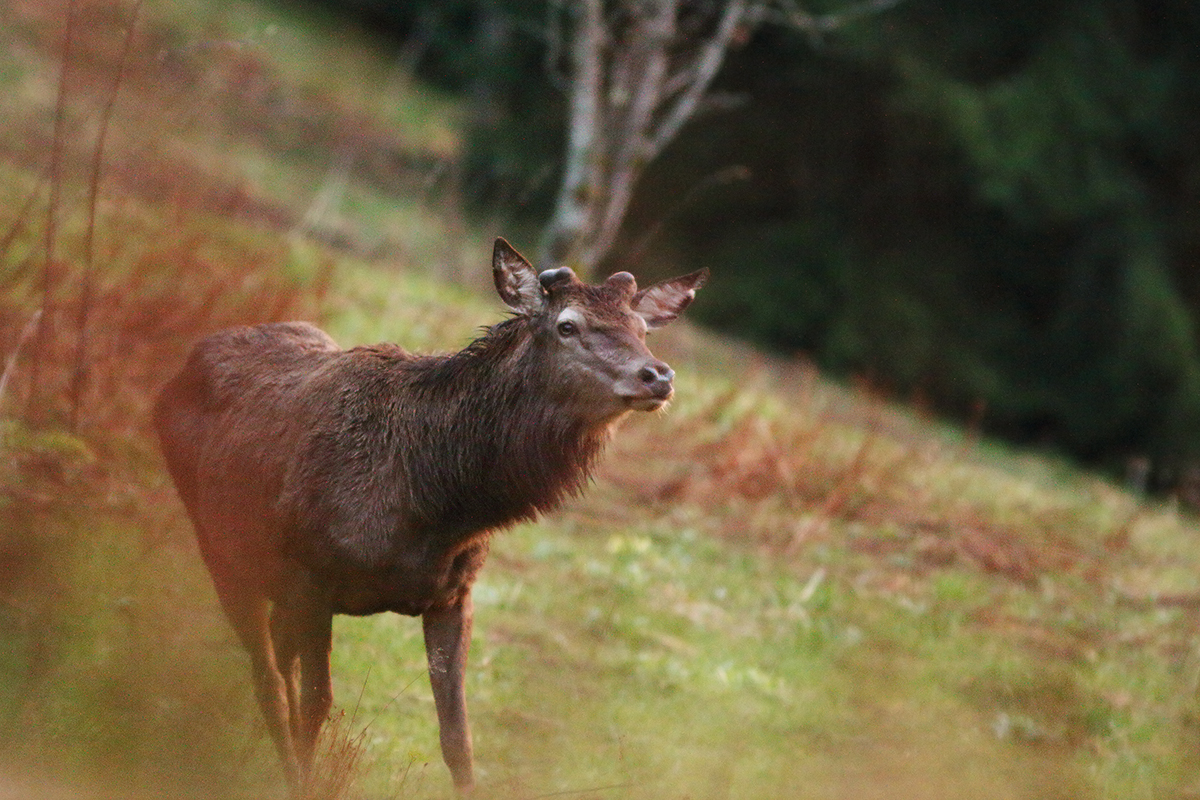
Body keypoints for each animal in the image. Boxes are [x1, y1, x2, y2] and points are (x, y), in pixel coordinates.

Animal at [154, 237, 705, 796]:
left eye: (641, 329)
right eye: (567, 325)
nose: (657, 375)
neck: (438, 508)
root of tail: (182, 368)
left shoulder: (454, 593)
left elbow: (457, 735)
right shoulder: (314, 577)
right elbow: (316, 704)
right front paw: (302, 782)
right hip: (221, 550)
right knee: (266, 676)